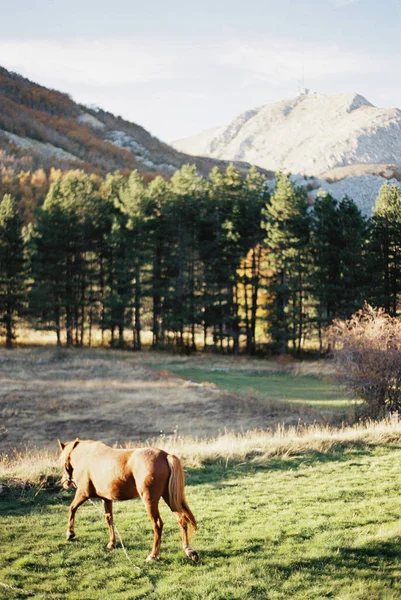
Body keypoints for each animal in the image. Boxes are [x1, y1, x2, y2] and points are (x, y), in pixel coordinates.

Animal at [57, 436, 198, 564]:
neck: (87, 456)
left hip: (150, 501)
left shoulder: (83, 493)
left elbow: (72, 508)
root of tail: (165, 455)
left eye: (61, 461)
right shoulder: (106, 499)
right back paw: (188, 550)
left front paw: (70, 533)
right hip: (169, 498)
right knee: (182, 520)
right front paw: (112, 543)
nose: (65, 483)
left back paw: (153, 555)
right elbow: (109, 519)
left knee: (158, 524)